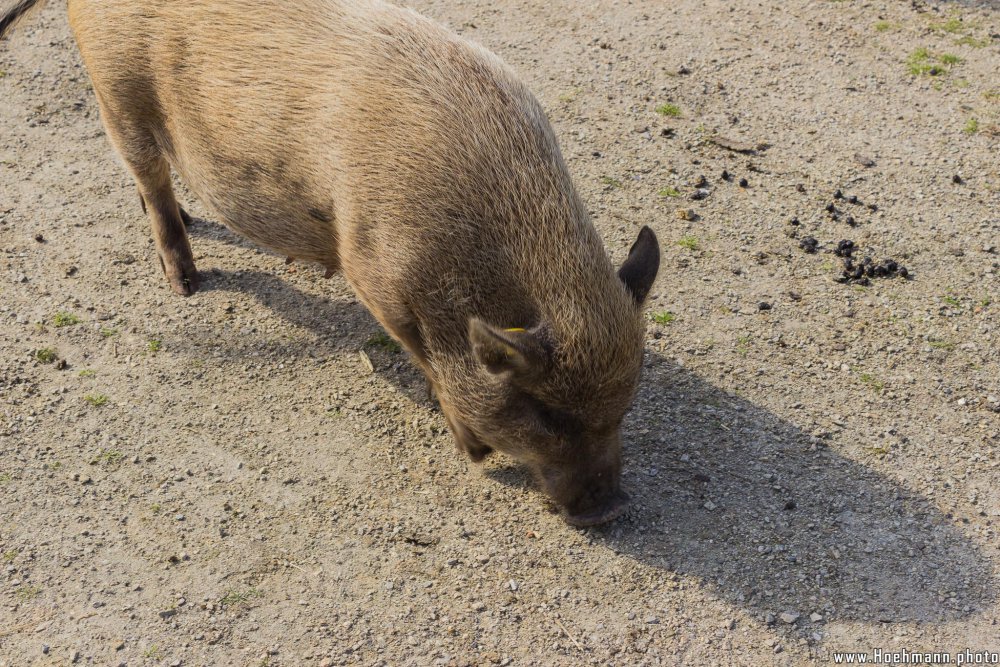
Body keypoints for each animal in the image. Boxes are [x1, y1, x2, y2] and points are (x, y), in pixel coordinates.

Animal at [1, 0, 664, 528]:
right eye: (546, 412)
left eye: (624, 405)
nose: (612, 509)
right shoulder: (372, 275)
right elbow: (425, 361)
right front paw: (473, 454)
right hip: (115, 97)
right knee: (151, 179)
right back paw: (186, 284)